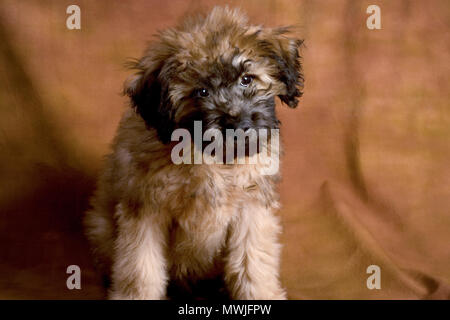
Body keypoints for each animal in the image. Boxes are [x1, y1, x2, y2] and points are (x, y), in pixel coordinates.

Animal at [83, 5, 304, 300]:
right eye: (201, 92)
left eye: (247, 80)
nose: (236, 124)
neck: (214, 159)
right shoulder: (145, 209)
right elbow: (140, 268)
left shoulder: (251, 206)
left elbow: (253, 262)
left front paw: (262, 295)